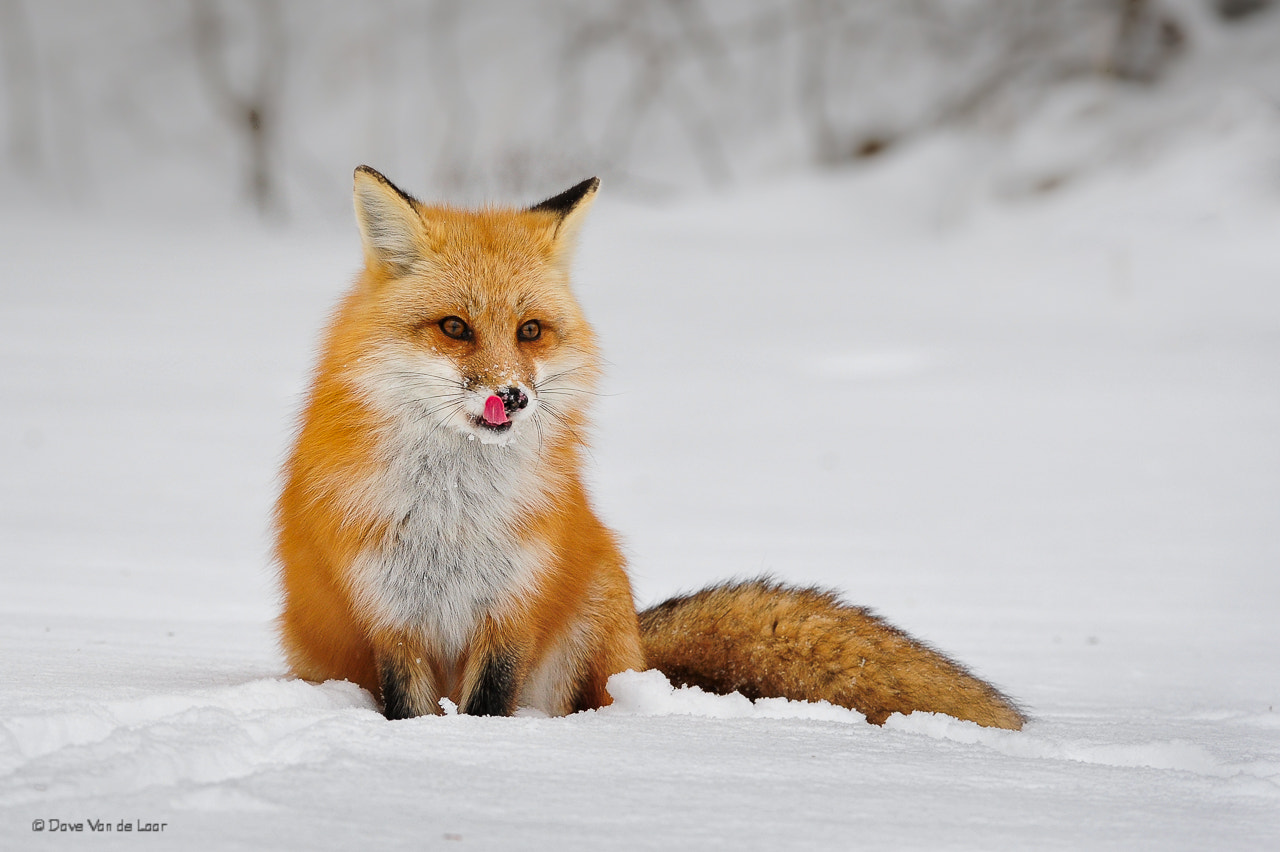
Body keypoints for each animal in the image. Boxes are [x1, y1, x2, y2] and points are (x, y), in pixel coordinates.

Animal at [274, 166, 1026, 730]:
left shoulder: (512, 610)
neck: (452, 517)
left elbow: (488, 705)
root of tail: (640, 641)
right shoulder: (391, 618)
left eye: (529, 330)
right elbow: (409, 709)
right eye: (454, 327)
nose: (512, 397)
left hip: (590, 618)